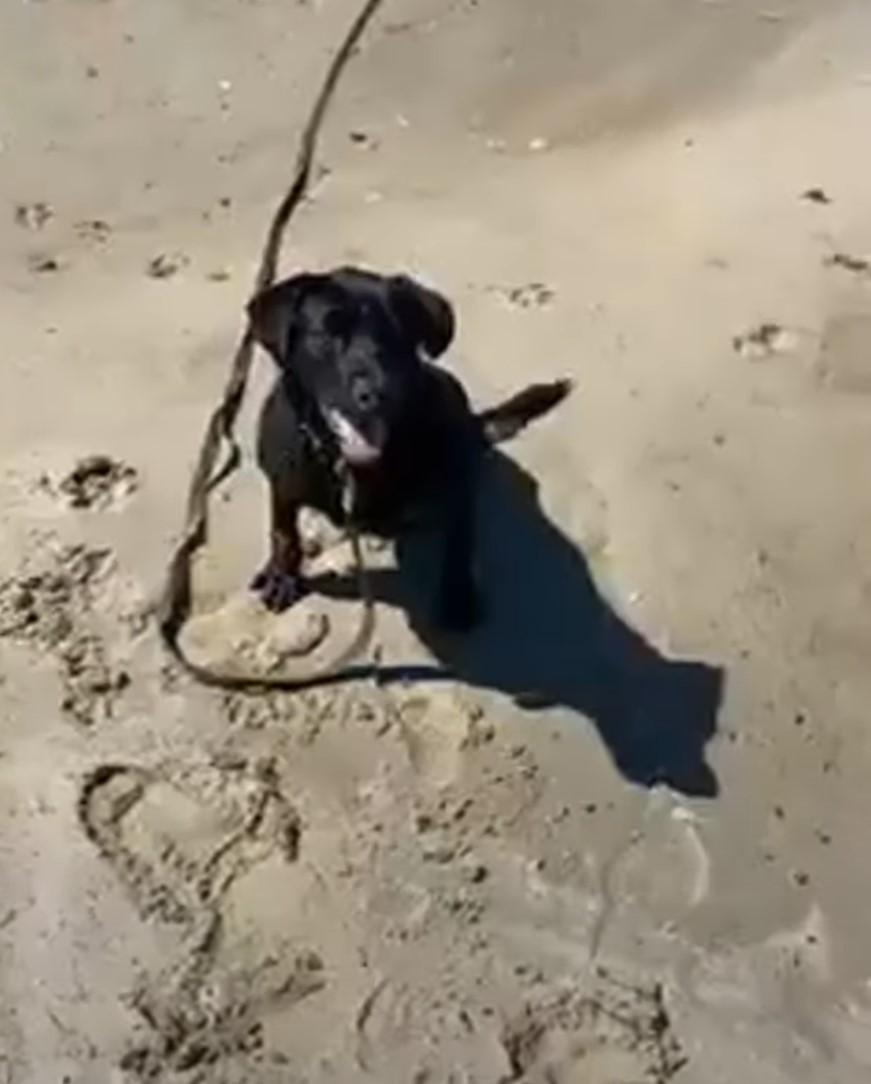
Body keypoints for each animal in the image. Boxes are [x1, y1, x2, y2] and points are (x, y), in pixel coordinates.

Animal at [247, 265, 572, 633]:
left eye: (398, 336)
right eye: (327, 334)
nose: (379, 393)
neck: (349, 467)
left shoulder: (454, 490)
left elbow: (459, 546)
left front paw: (457, 596)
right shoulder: (282, 482)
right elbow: (283, 532)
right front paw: (281, 575)